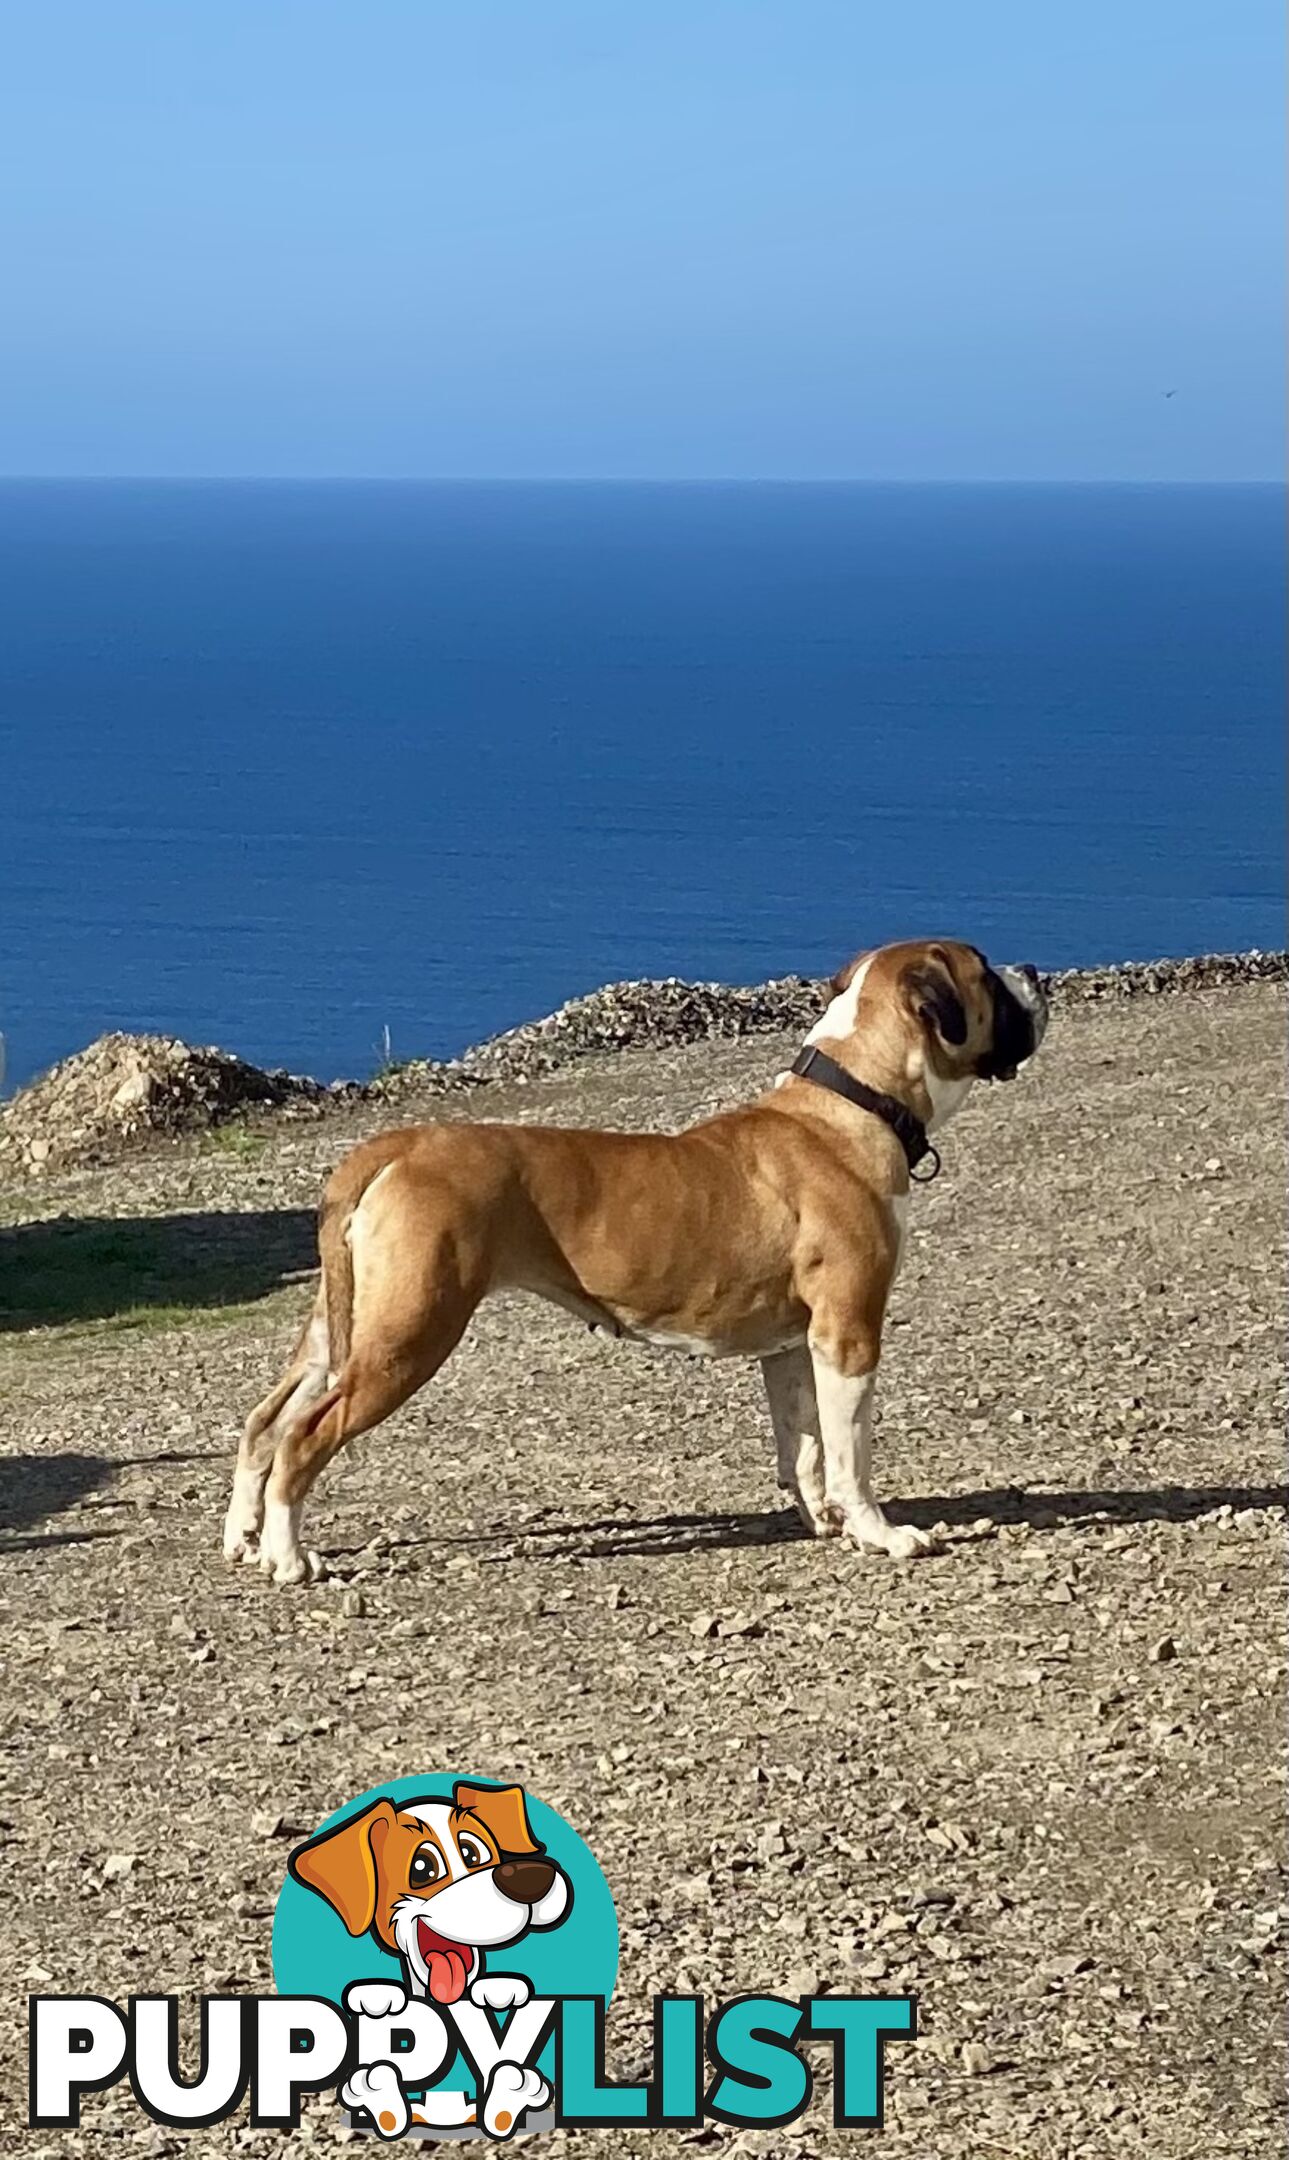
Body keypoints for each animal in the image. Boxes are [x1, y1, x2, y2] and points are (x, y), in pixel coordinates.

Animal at [221, 937, 1045, 1581]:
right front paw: (880, 1531)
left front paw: (825, 1520)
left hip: (339, 1331)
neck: (852, 1100)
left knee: (265, 1422)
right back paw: (289, 1558)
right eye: (985, 973)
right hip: (407, 1334)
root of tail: (394, 1146)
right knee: (304, 1435)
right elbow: (850, 1450)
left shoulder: (790, 1348)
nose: (1034, 969)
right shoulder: (847, 1334)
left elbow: (806, 1445)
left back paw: (246, 1540)